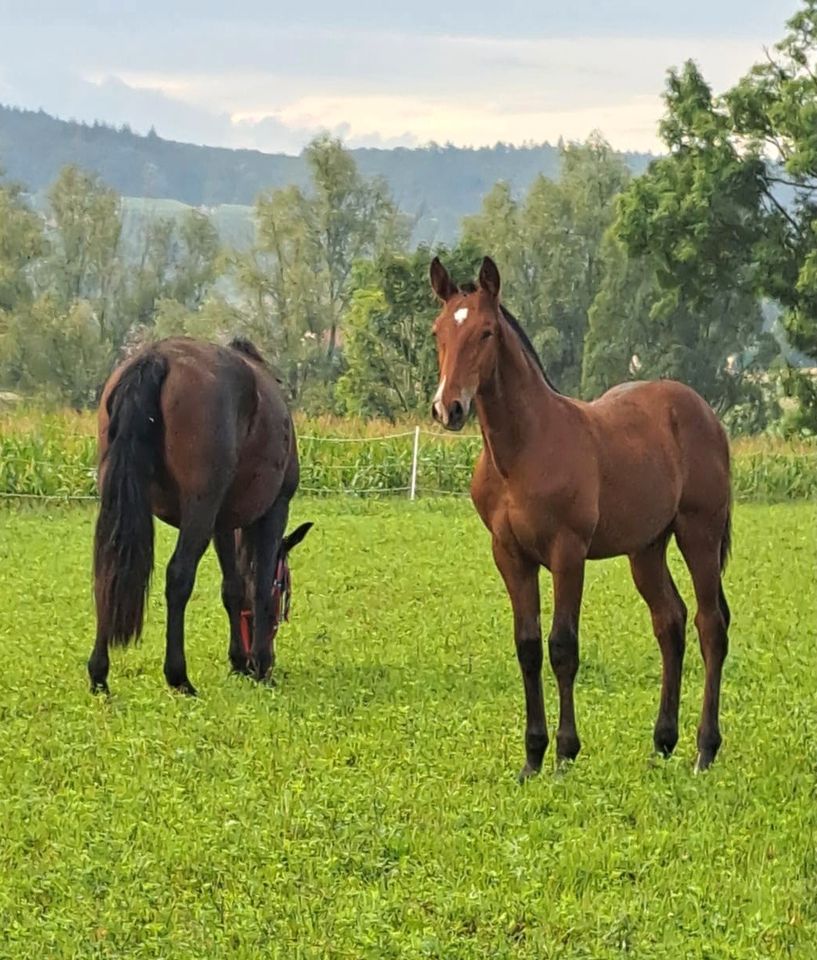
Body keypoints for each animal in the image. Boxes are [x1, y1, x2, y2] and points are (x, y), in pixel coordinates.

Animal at [88, 338, 312, 696]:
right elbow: (260, 586)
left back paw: (99, 673)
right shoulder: (274, 509)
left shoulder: (223, 523)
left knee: (106, 573)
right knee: (179, 576)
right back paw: (179, 676)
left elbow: (233, 587)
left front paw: (240, 661)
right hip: (200, 510)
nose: (261, 659)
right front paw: (261, 665)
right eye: (285, 591)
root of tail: (158, 357)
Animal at [428, 256, 732, 780]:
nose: (449, 407)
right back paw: (662, 742)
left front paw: (565, 753)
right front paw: (532, 757)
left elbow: (562, 647)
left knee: (710, 625)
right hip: (646, 548)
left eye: (486, 332)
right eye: (437, 332)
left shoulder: (567, 553)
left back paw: (704, 750)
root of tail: (705, 413)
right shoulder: (510, 556)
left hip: (700, 534)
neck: (523, 450)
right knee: (669, 622)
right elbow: (528, 647)